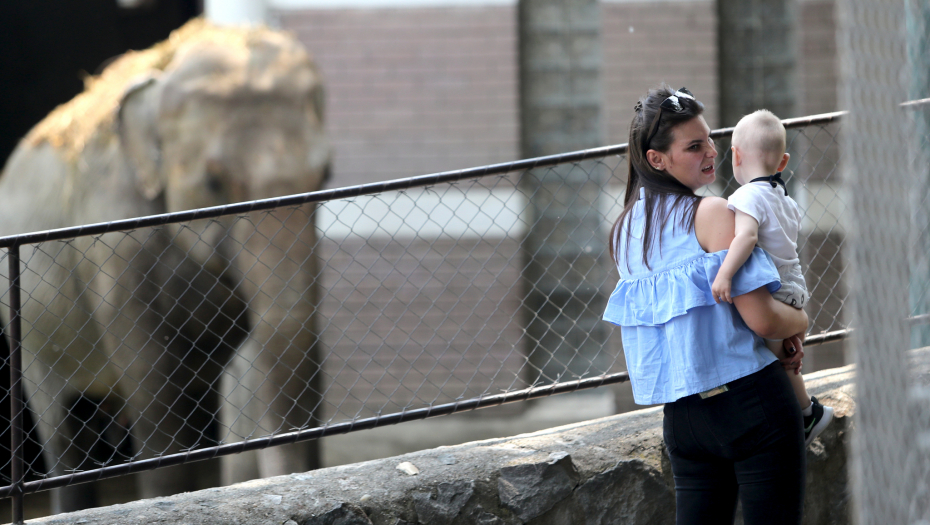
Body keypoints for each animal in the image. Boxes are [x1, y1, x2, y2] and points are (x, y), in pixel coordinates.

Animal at [0, 20, 330, 512]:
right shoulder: (114, 238)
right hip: (28, 333)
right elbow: (149, 375)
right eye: (213, 182)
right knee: (61, 430)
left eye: (326, 177)